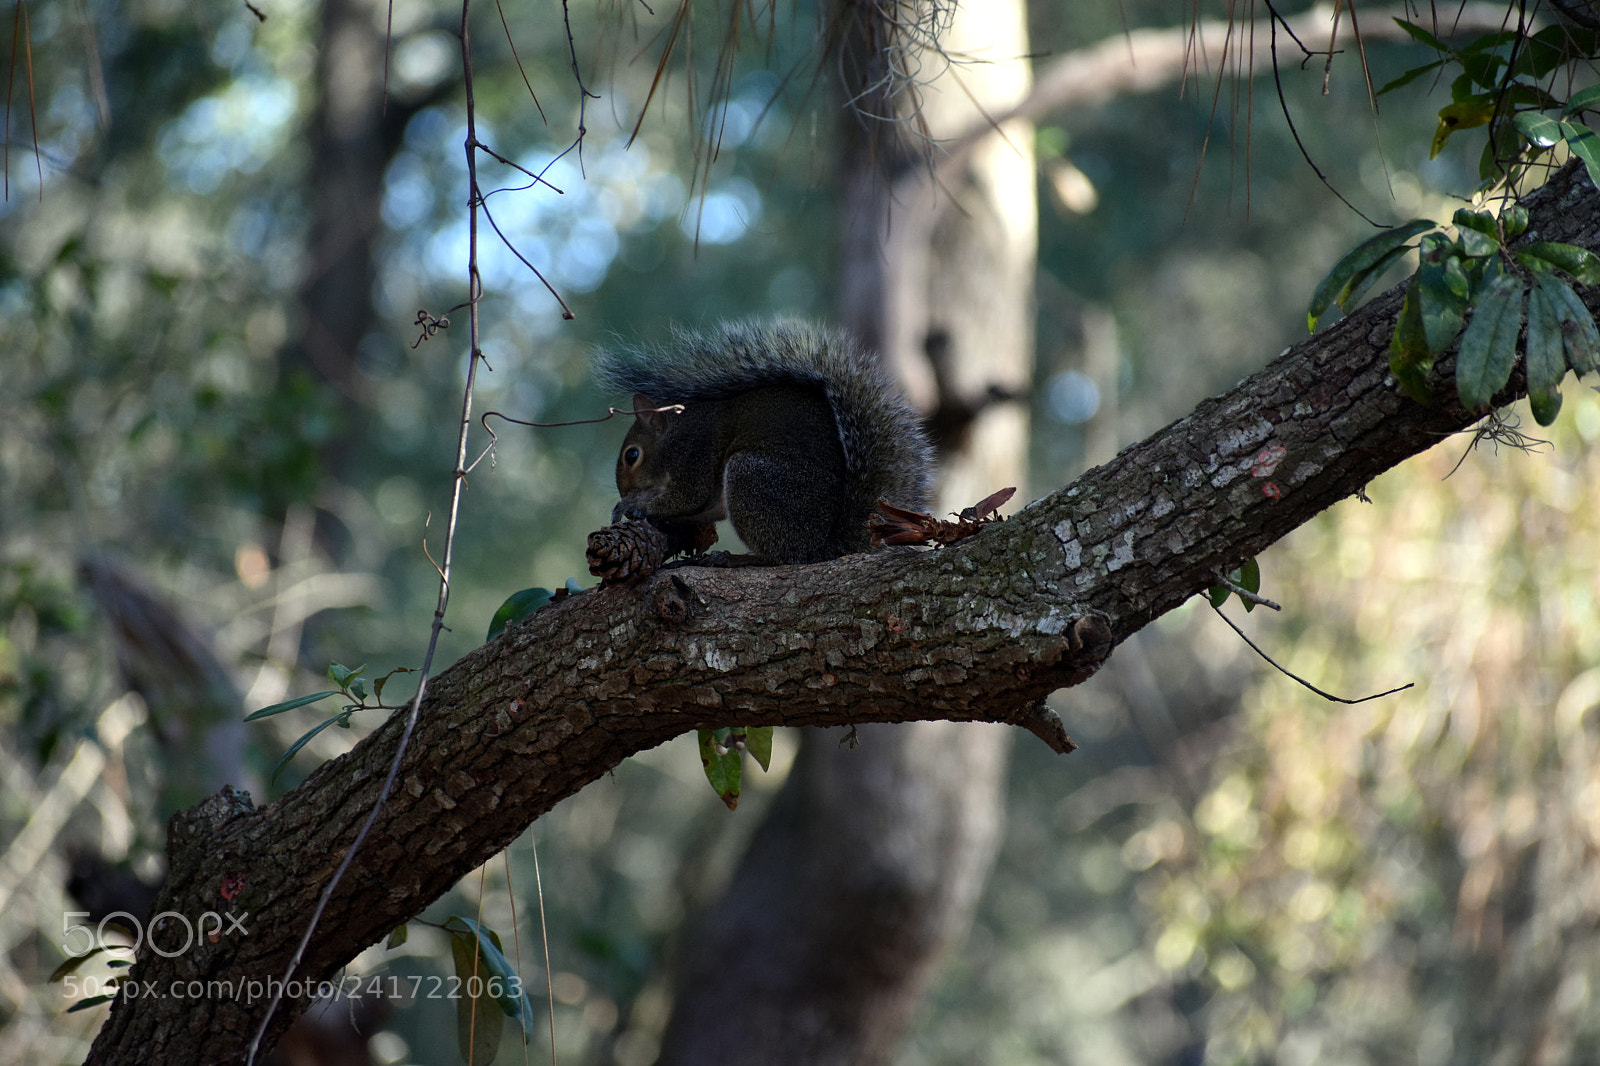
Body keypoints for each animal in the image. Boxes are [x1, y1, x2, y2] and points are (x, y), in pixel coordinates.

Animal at [594, 320, 934, 564]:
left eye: (632, 455)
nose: (625, 491)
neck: (675, 434)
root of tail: (820, 547)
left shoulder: (693, 454)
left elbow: (686, 497)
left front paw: (634, 505)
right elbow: (699, 510)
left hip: (752, 479)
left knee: (779, 558)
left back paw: (736, 559)